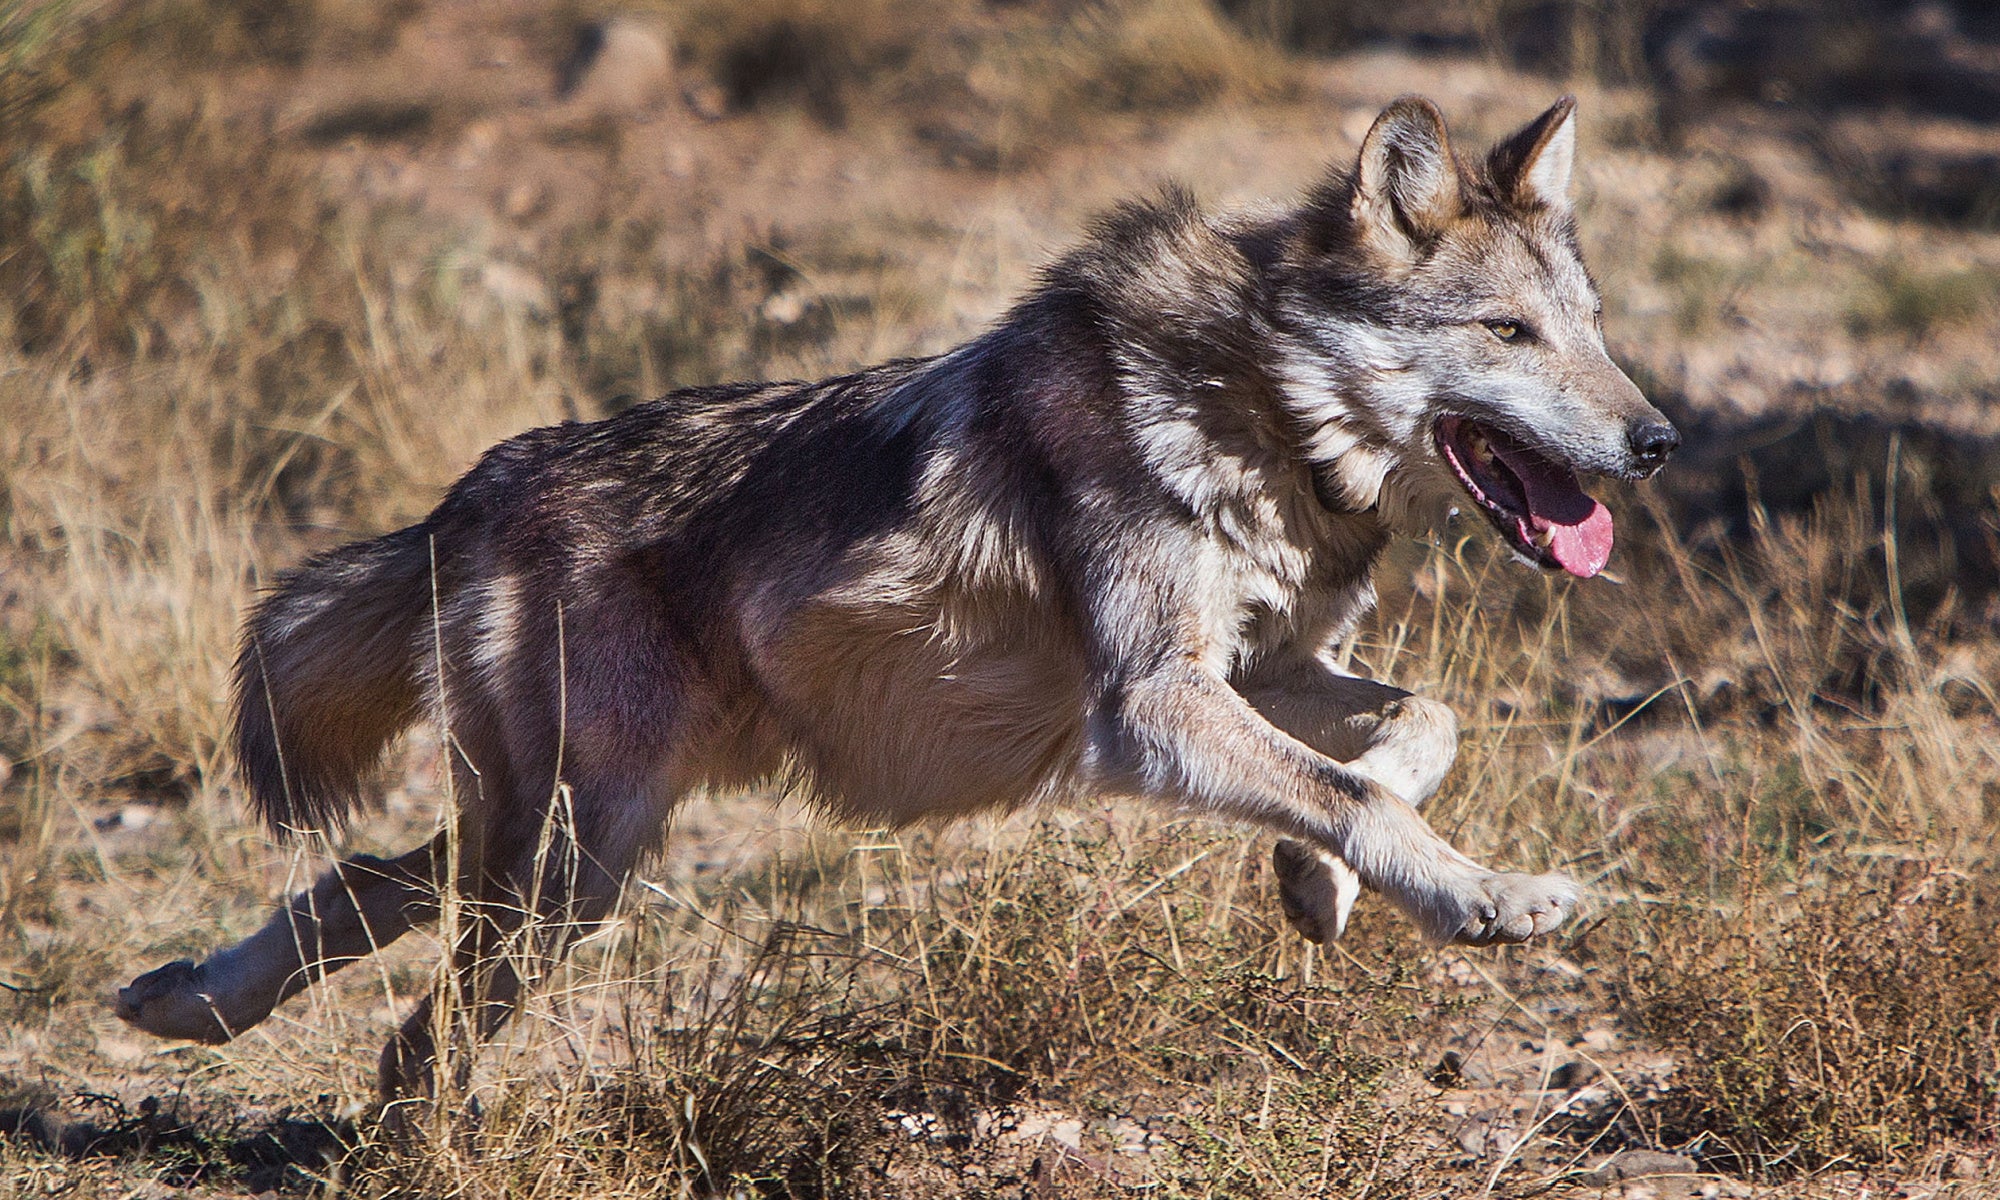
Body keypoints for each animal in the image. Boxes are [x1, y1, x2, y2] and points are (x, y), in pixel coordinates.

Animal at [109, 98, 1672, 1104]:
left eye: (1594, 330)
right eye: (1506, 333)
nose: (1657, 441)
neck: (1258, 413)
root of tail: (464, 497)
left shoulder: (1263, 672)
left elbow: (1418, 735)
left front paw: (1316, 885)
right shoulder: (1149, 710)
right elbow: (1358, 790)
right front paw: (1486, 899)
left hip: (568, 851)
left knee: (370, 888)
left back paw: (185, 1001)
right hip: (569, 864)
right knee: (417, 1018)